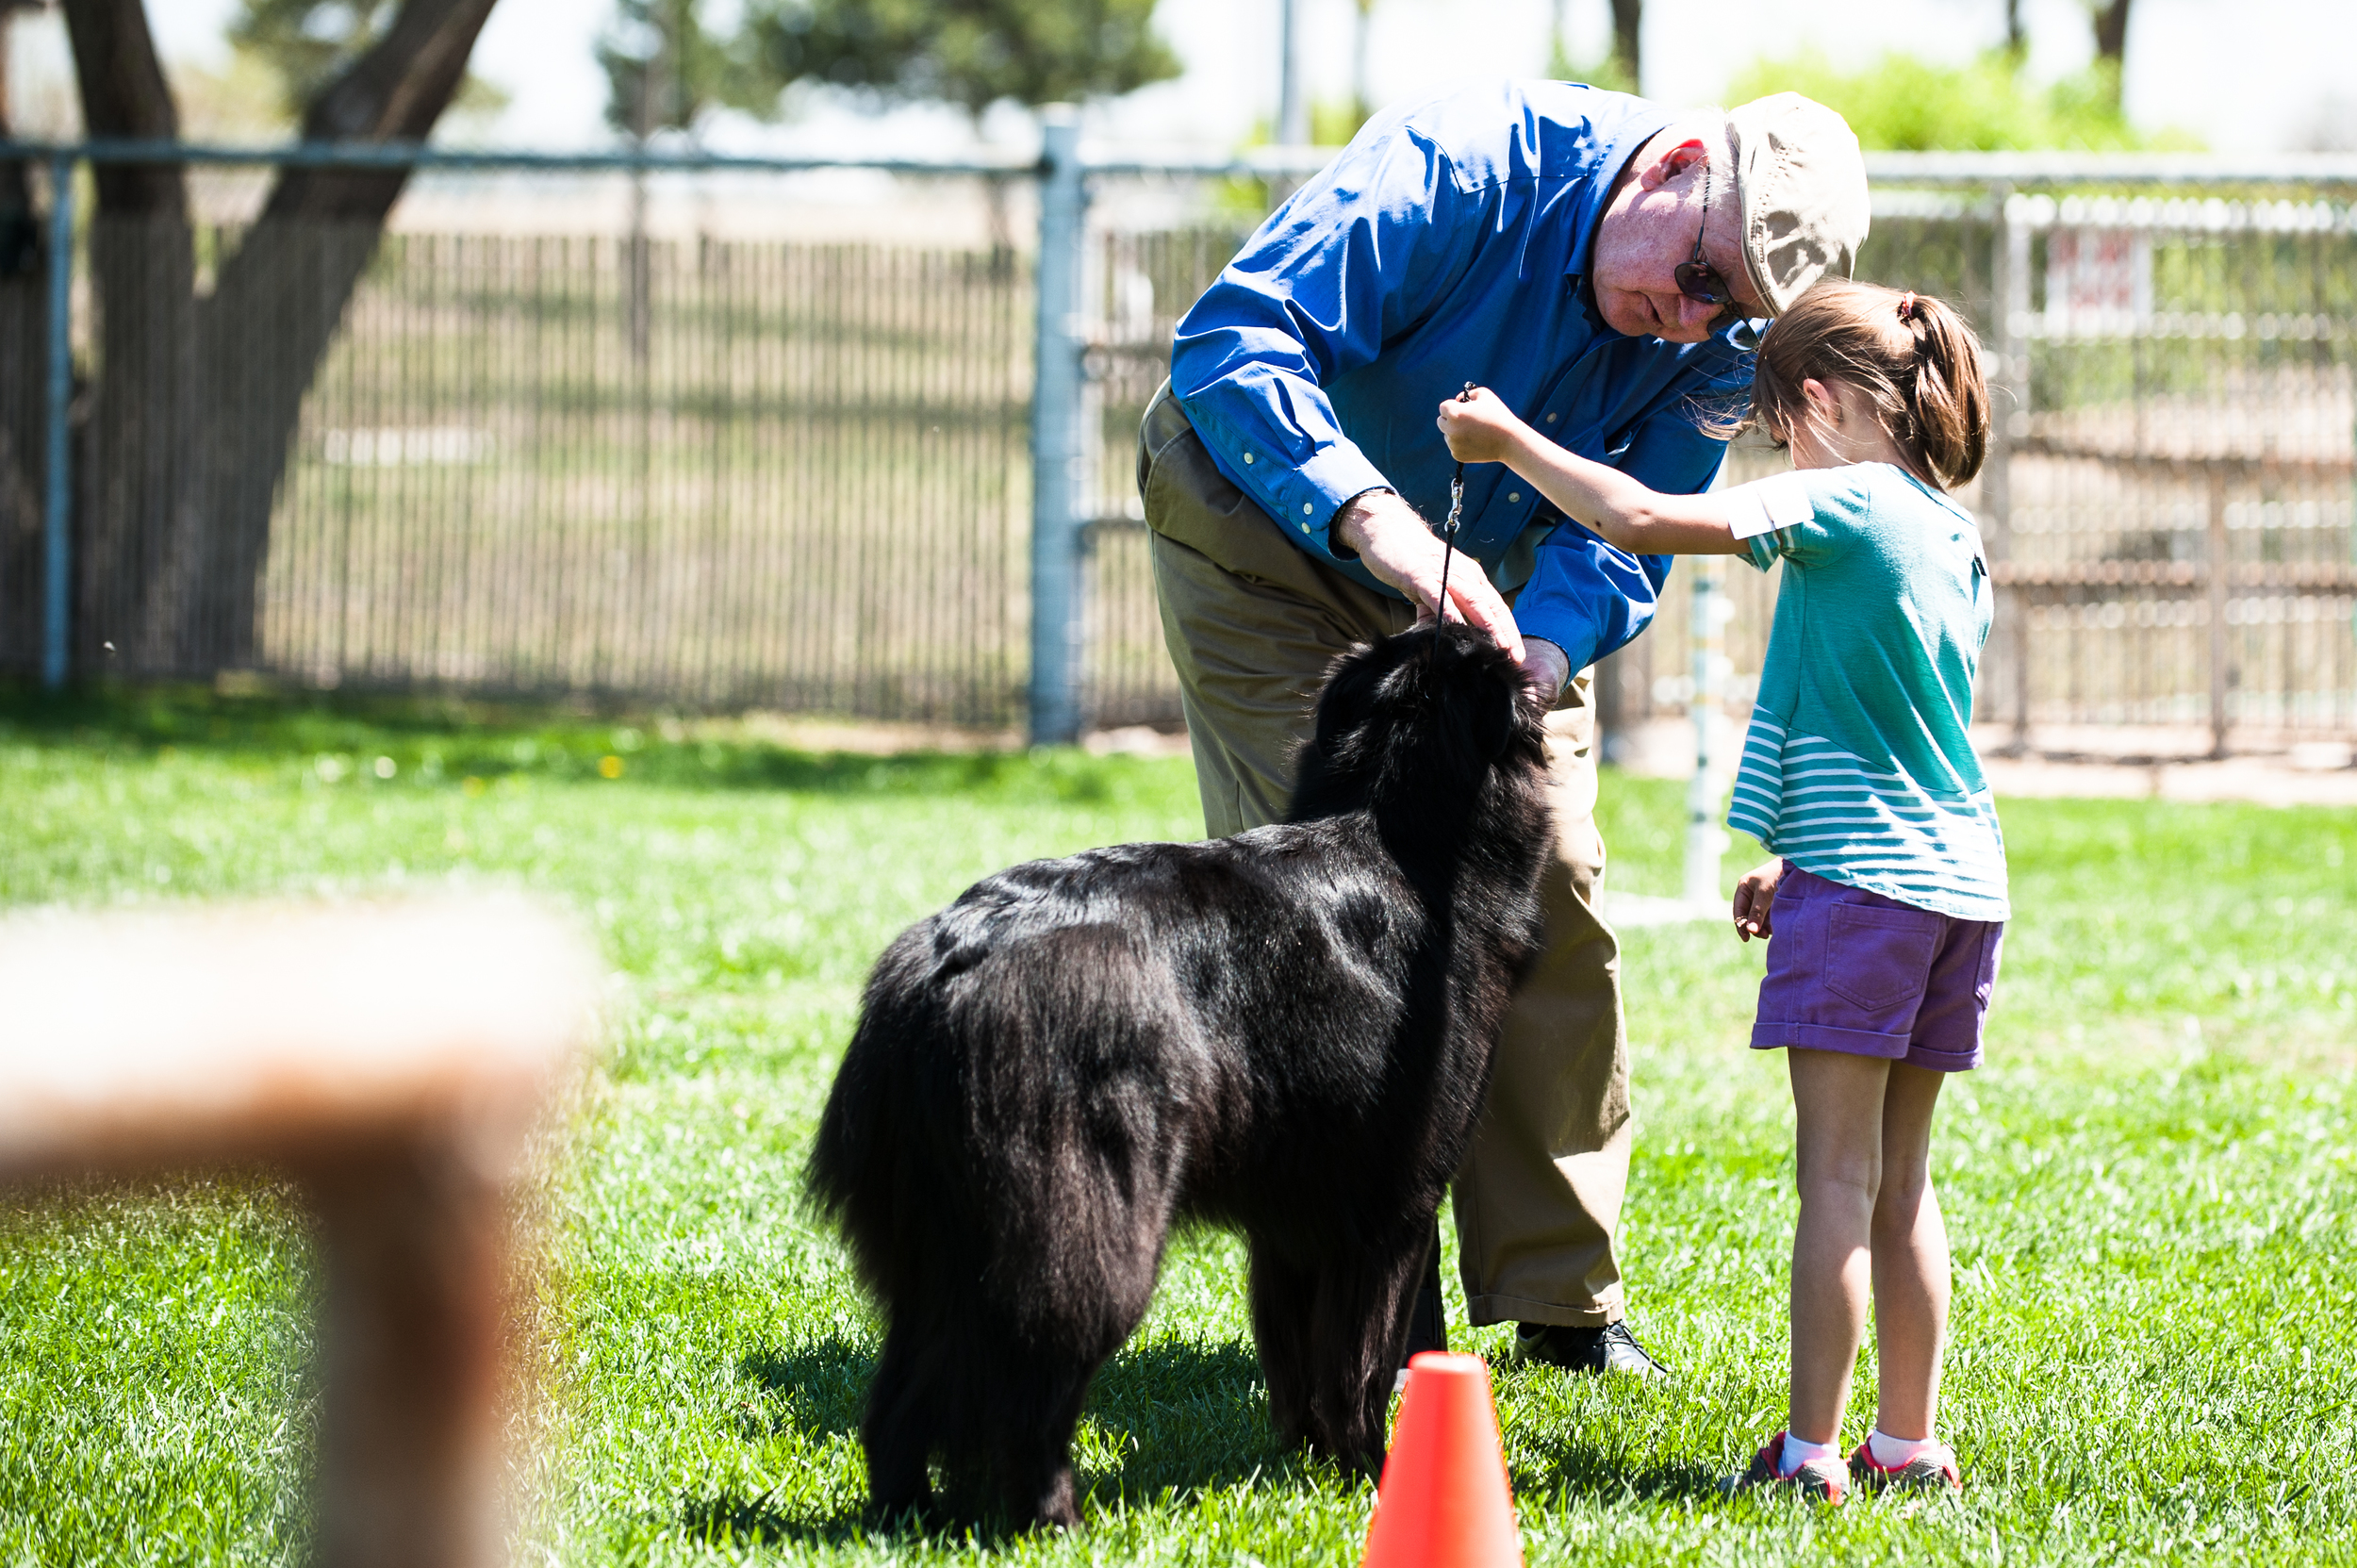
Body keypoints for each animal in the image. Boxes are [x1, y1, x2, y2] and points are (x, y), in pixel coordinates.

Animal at [801, 622, 1556, 1527]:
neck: (1397, 830)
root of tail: (951, 956)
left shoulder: (1295, 1224)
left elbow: (1299, 1360)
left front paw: (1311, 1468)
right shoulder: (1390, 1214)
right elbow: (1360, 1368)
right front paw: (1373, 1477)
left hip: (932, 1247)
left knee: (903, 1395)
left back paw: (909, 1515)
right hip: (1082, 1232)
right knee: (1025, 1385)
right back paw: (1055, 1519)